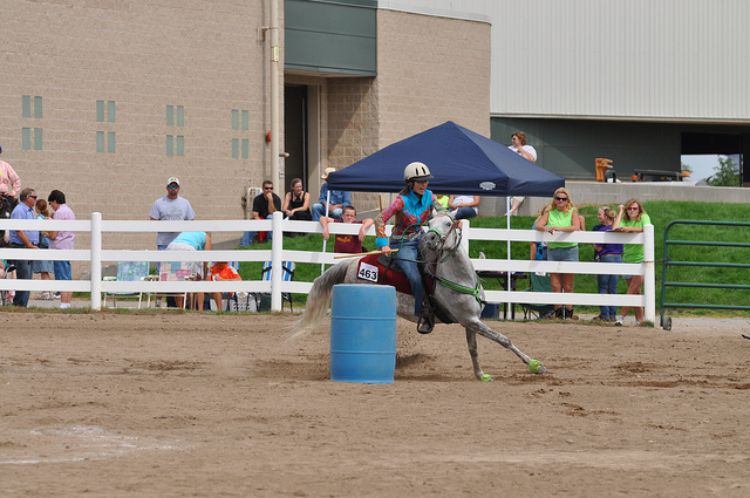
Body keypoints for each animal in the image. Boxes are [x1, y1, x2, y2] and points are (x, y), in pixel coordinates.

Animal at [298, 210, 548, 382]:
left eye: (448, 223)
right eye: (430, 224)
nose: (430, 240)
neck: (460, 277)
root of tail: (351, 263)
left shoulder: (471, 321)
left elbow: (473, 349)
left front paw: (480, 375)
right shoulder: (470, 320)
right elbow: (504, 339)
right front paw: (535, 365)